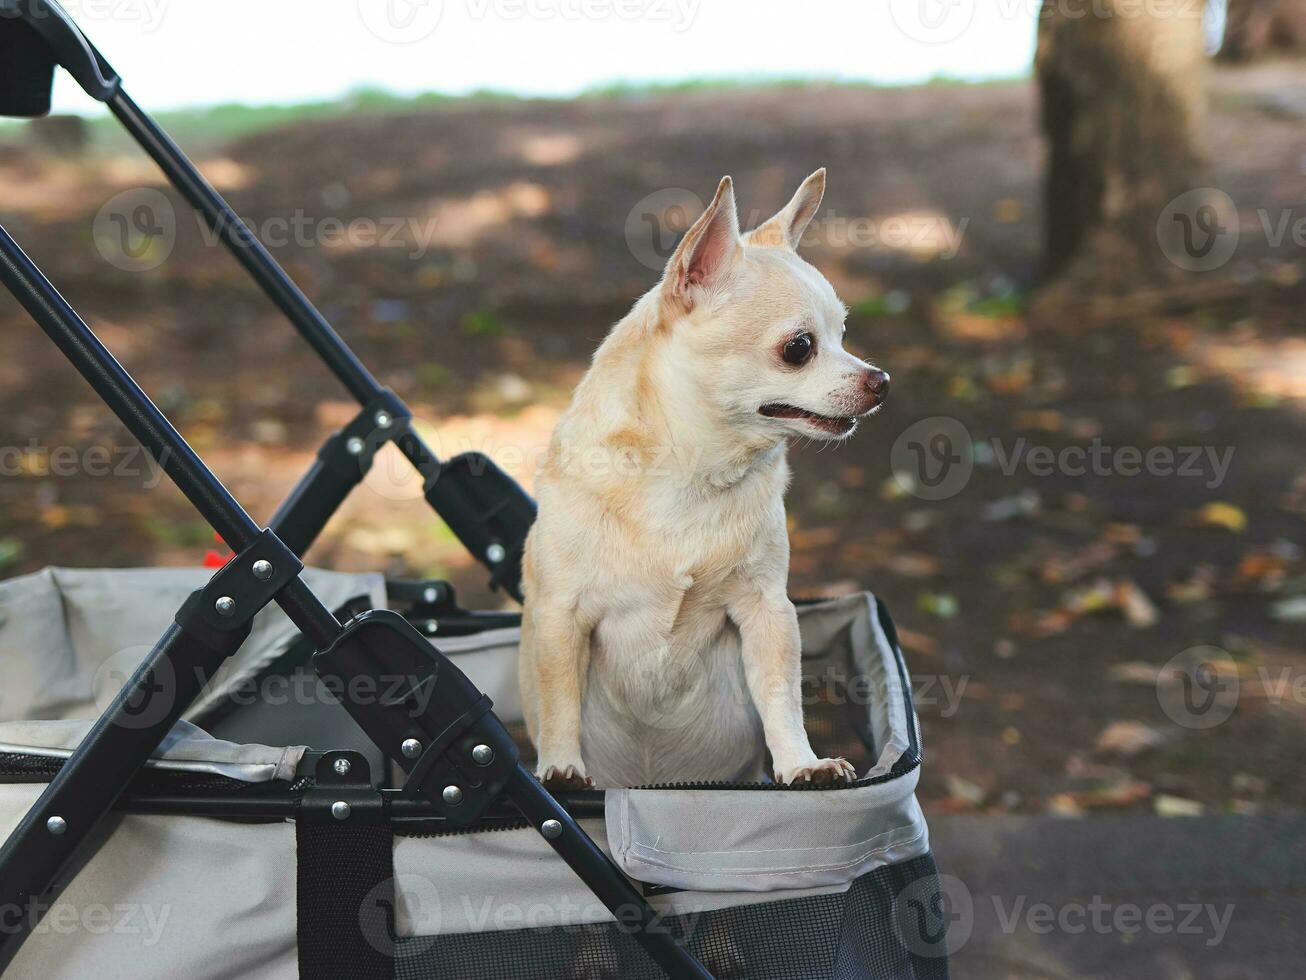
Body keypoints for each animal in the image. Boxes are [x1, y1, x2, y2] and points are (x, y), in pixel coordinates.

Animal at [517, 172, 888, 794]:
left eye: (844, 333)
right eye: (799, 348)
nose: (881, 380)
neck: (690, 473)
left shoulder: (768, 612)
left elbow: (781, 696)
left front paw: (801, 763)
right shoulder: (561, 616)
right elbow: (559, 698)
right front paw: (561, 768)